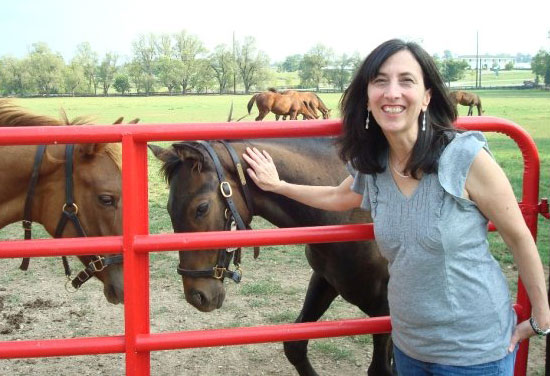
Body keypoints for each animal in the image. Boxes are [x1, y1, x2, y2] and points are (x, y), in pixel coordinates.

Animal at [149, 138, 394, 376]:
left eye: (201, 208)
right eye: (169, 209)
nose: (196, 296)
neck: (346, 214)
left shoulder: (386, 308)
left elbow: (381, 368)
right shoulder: (325, 280)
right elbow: (294, 347)